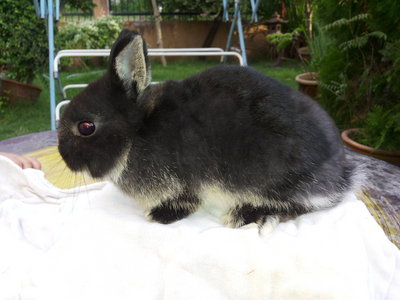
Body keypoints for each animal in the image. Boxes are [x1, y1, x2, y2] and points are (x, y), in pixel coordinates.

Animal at [58, 29, 354, 227]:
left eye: (86, 127)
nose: (63, 156)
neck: (137, 133)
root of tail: (343, 175)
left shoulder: (187, 184)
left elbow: (186, 201)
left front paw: (158, 215)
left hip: (275, 177)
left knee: (302, 204)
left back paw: (245, 214)